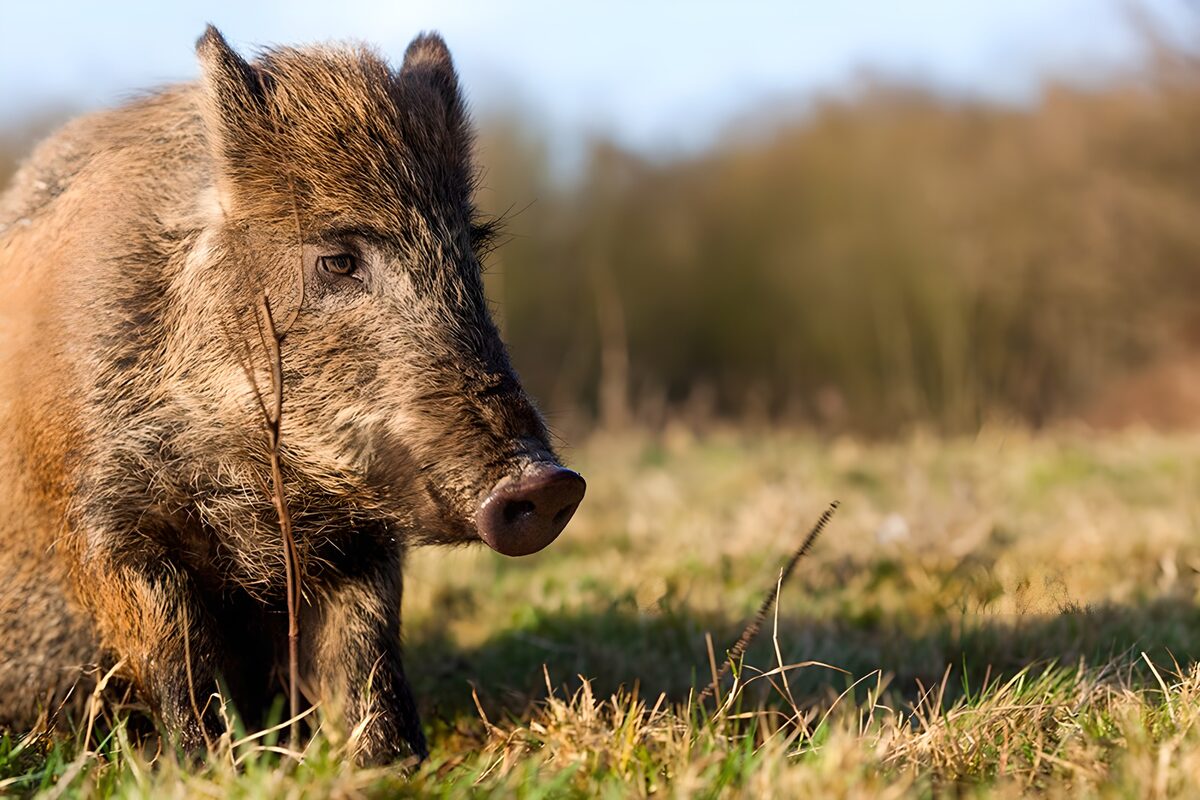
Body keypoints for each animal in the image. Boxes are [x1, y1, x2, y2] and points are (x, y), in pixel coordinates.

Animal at [0, 26, 585, 764]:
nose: (549, 483)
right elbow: (178, 654)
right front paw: (208, 767)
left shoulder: (362, 540)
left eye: (470, 256)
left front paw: (395, 764)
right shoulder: (100, 522)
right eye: (337, 259)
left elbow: (366, 655)